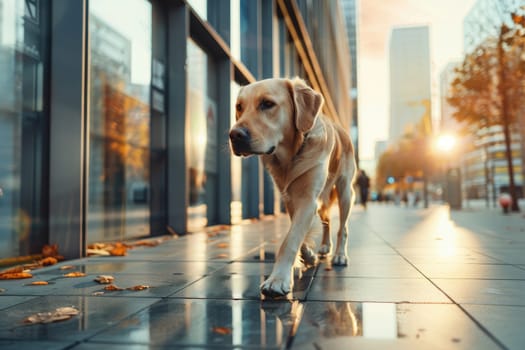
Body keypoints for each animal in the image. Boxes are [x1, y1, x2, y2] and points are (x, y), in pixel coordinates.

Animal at [229, 78, 356, 296]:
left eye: (267, 104)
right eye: (239, 107)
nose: (234, 135)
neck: (290, 156)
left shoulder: (307, 199)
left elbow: (290, 240)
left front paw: (278, 279)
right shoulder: (290, 197)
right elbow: (298, 235)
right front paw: (308, 256)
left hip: (345, 190)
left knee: (343, 228)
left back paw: (340, 254)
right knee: (327, 221)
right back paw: (324, 246)